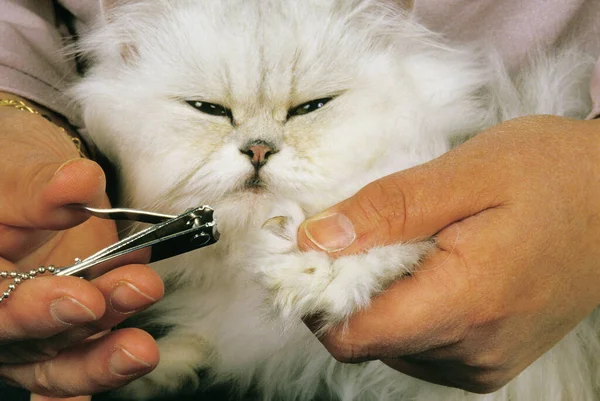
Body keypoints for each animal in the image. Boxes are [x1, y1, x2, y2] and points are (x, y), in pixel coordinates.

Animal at [74, 0, 600, 400]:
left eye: (311, 108)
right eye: (208, 110)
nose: (258, 150)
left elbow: (379, 235)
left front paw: (314, 271)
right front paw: (155, 368)